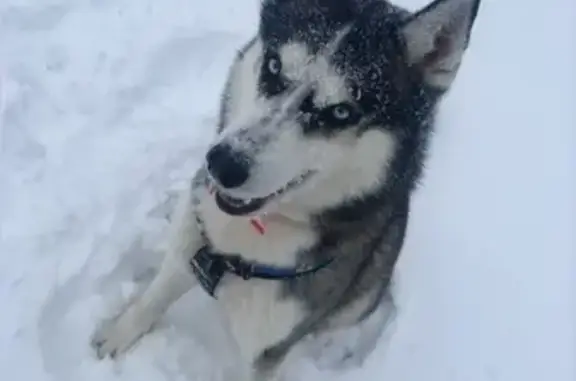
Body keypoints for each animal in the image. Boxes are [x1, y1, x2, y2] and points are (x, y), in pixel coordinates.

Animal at [91, 0, 482, 378]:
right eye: (274, 66)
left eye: (341, 112)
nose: (222, 164)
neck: (240, 249)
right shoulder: (192, 244)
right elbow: (155, 295)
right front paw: (119, 334)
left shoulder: (270, 347)